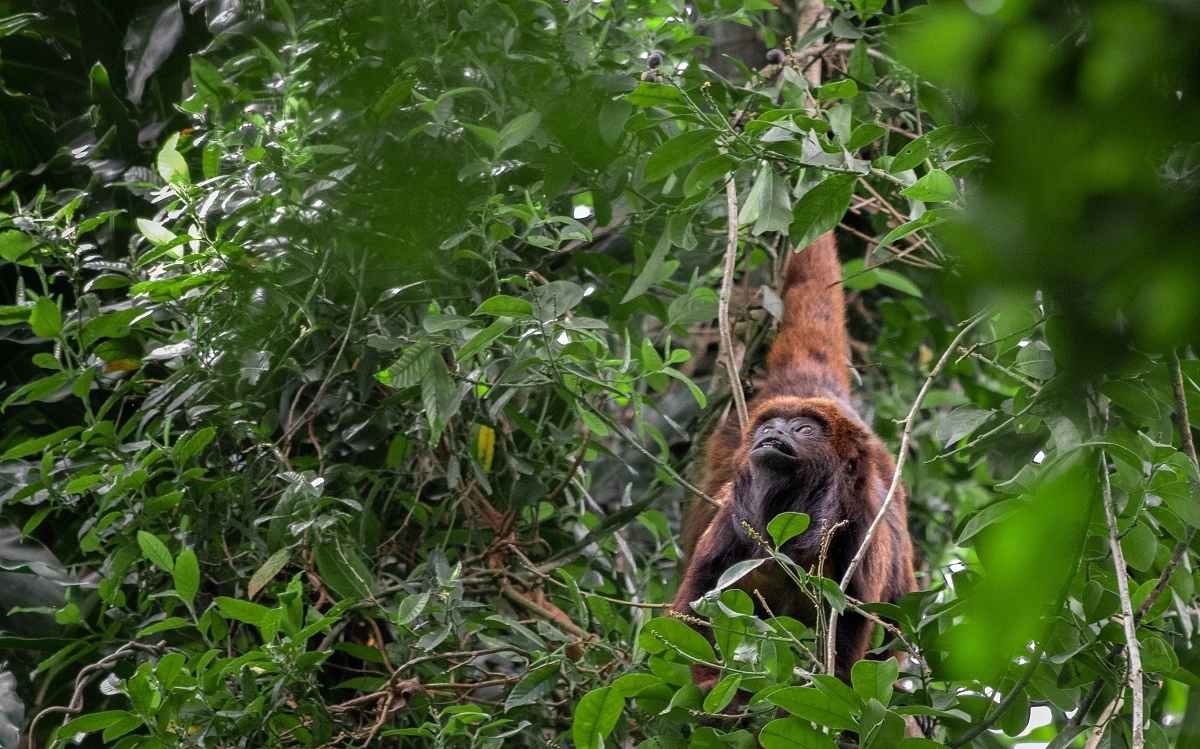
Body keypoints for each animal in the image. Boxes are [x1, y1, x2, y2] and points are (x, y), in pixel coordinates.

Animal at [672, 231, 912, 681]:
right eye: (773, 426)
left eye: (803, 429)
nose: (773, 431)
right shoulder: (734, 523)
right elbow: (689, 619)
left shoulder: (862, 531)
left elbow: (847, 649)